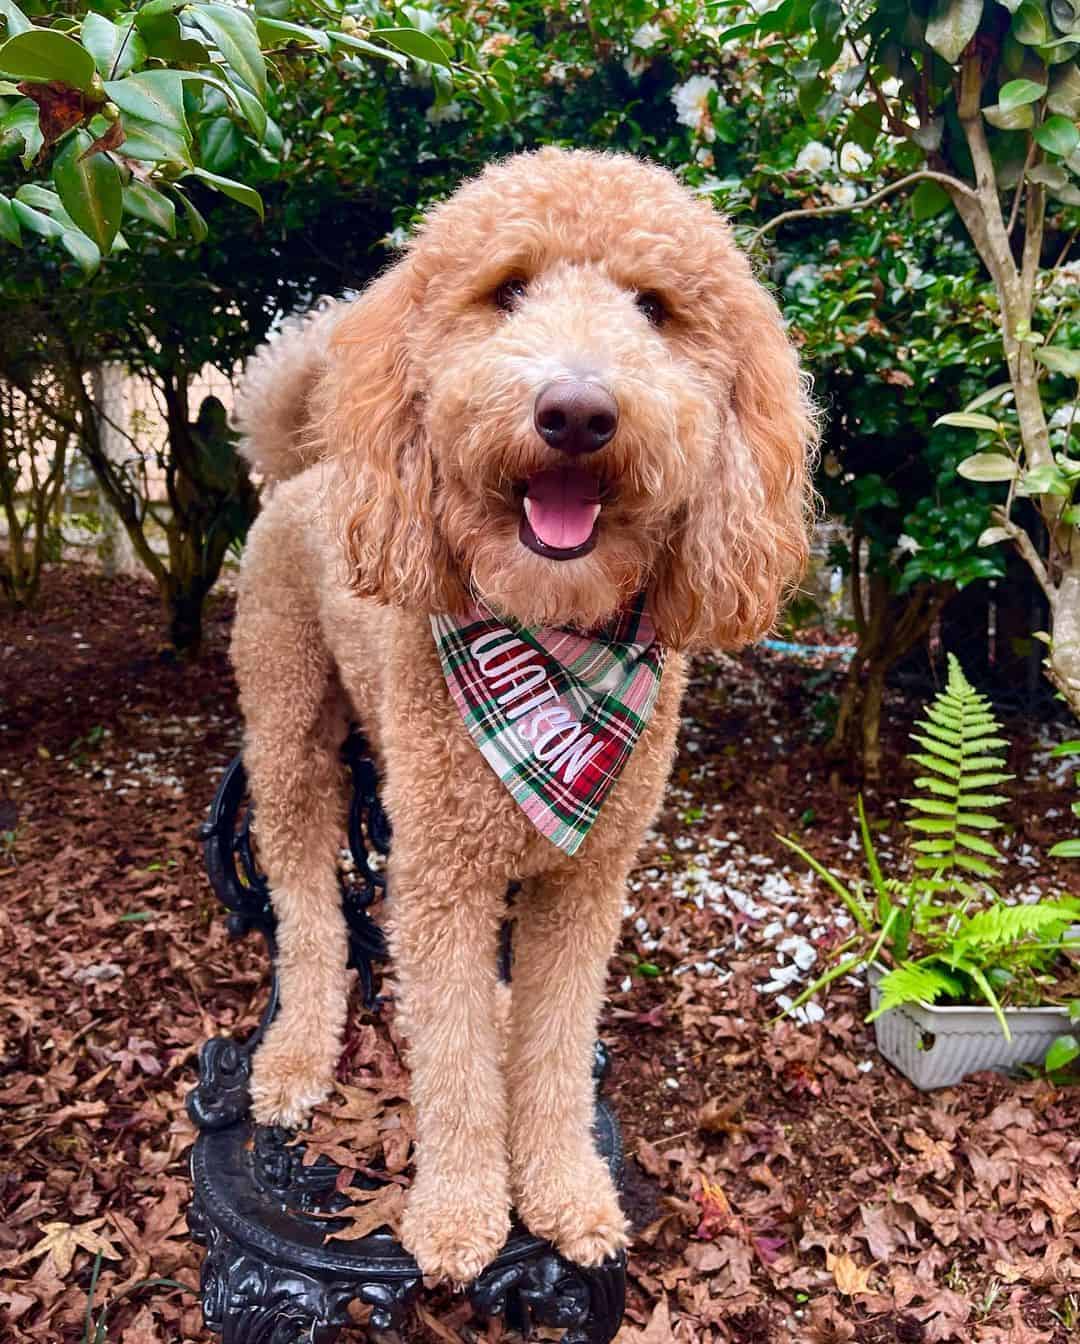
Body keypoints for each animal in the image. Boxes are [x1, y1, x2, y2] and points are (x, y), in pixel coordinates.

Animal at [229, 144, 816, 1279]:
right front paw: (461, 1212)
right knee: (310, 905)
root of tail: (309, 464)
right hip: (288, 727)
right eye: (506, 291)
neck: (554, 640)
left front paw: (564, 1190)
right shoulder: (441, 879)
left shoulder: (585, 881)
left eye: (654, 308)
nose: (577, 412)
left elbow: (553, 1047)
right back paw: (298, 1049)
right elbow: (452, 1063)